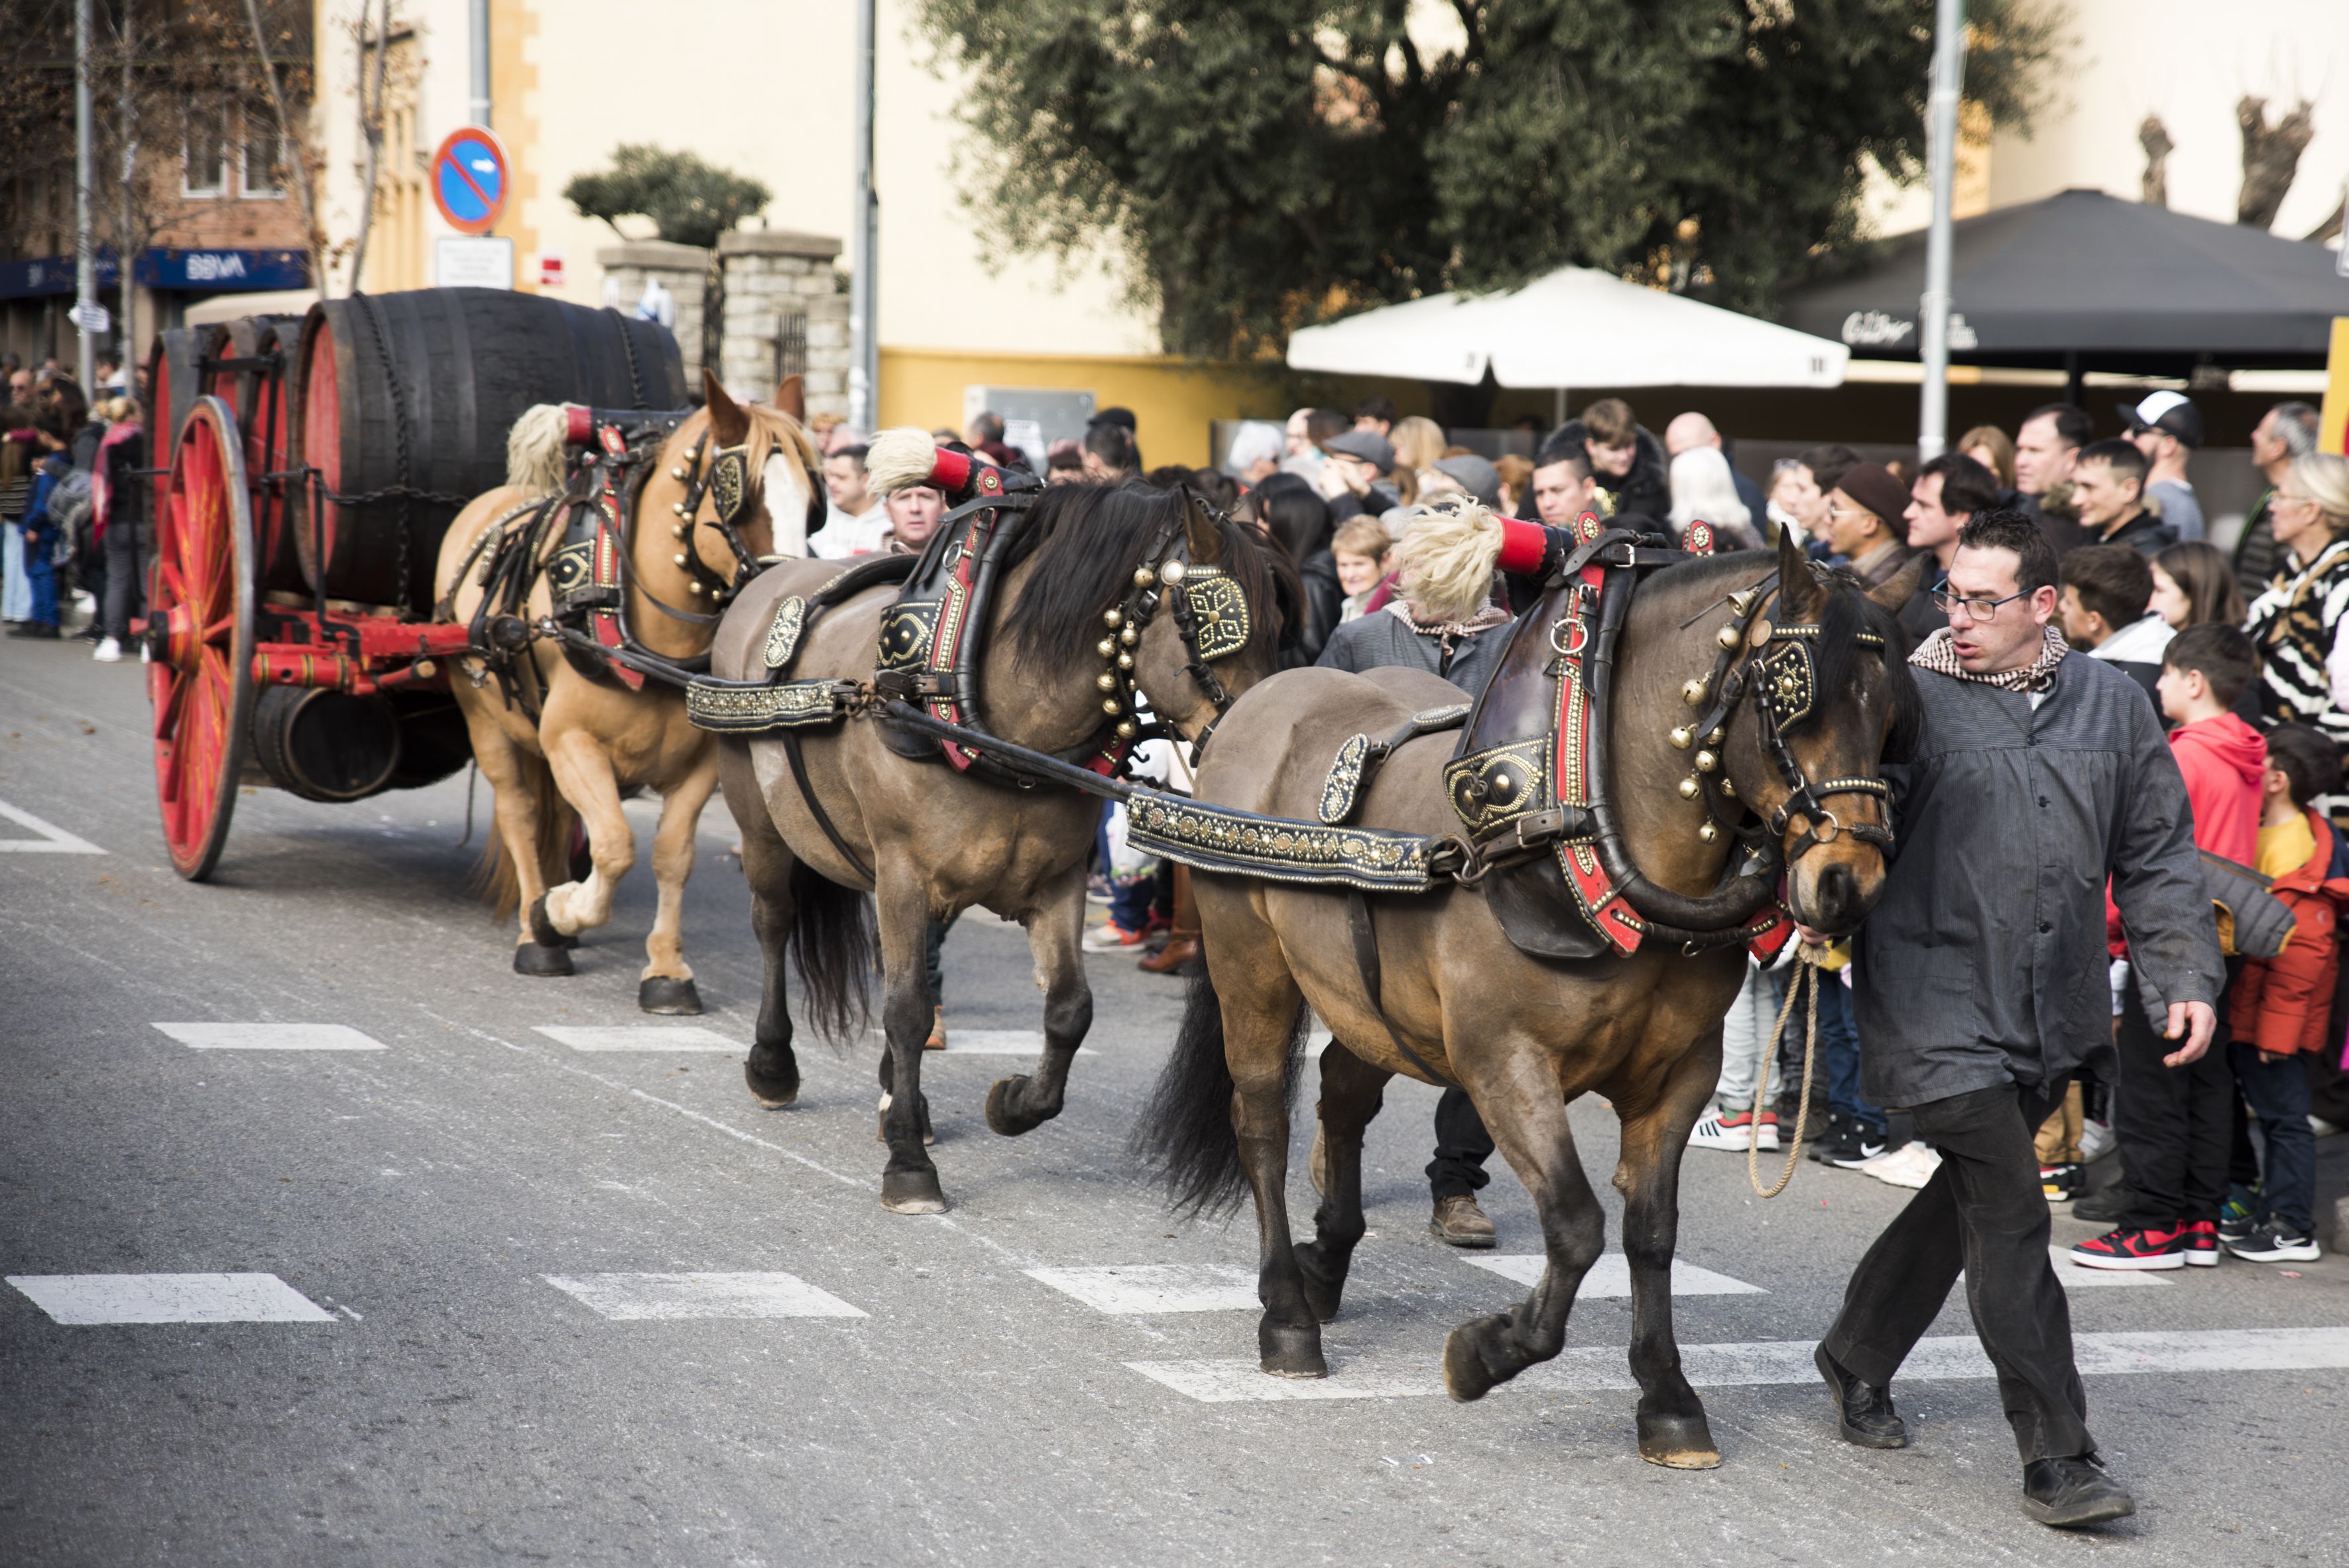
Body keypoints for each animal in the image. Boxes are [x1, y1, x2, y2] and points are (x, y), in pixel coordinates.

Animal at [436, 368, 831, 1009]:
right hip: (486, 720)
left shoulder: (701, 764)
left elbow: (672, 854)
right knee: (519, 812)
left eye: (814, 504)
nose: (788, 597)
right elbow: (616, 845)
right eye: (741, 498)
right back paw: (536, 927)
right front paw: (556, 914)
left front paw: (666, 969)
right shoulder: (570, 742)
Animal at [709, 471, 1296, 1221]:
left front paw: (1012, 1102)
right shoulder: (903, 873)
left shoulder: (1057, 880)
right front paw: (910, 1163)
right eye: (1206, 621)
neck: (1001, 728)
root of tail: (767, 579)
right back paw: (773, 1064)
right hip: (760, 821)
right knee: (774, 922)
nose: (1259, 737)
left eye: (1281, 627)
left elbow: (1070, 1008)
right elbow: (906, 1010)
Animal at [1136, 526, 1926, 1474]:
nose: (1847, 883)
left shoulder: (1680, 1075)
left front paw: (1669, 1400)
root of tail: (1258, 700)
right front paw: (1488, 1351)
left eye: (1892, 716)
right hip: (1250, 964)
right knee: (1261, 1123)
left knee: (1341, 1096)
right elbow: (1578, 1225)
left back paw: (1325, 1265)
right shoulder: (1503, 1062)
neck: (1587, 825)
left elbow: (1650, 1232)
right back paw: (1289, 1315)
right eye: (1790, 697)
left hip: (1372, 1002)